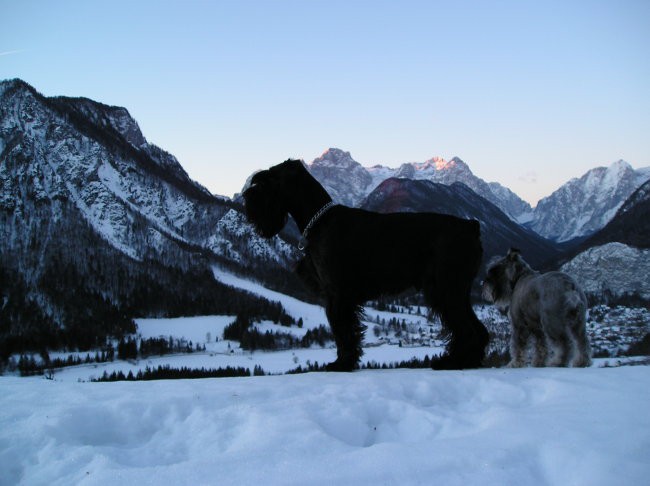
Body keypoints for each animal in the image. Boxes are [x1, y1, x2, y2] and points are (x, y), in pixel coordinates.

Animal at [243, 158, 486, 370]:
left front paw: (341, 364)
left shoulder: (337, 295)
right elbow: (346, 331)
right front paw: (346, 362)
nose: (246, 196)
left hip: (446, 290)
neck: (320, 220)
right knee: (478, 329)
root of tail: (470, 226)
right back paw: (468, 361)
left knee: (467, 329)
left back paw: (452, 362)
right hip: (456, 292)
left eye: (267, 180)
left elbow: (343, 332)